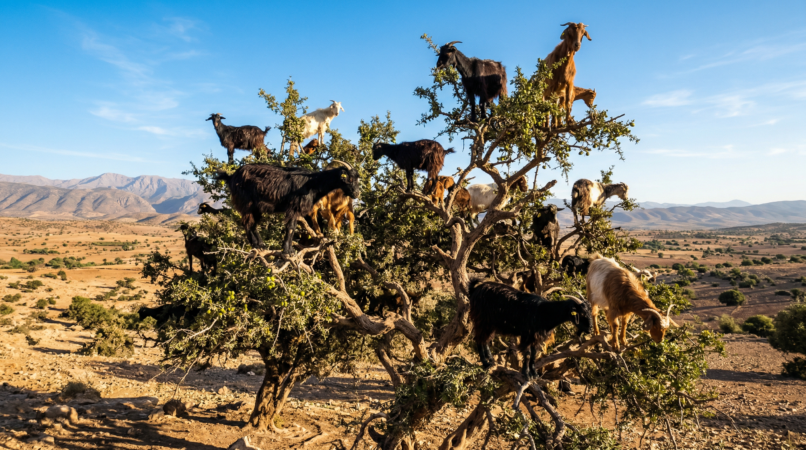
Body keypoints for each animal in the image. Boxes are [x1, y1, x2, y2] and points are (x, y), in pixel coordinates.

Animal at [215, 161, 360, 254]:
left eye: (357, 179)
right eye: (349, 179)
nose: (357, 193)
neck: (313, 182)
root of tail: (231, 177)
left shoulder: (297, 210)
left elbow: (293, 227)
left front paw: (290, 249)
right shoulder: (294, 207)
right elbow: (290, 227)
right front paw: (287, 251)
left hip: (256, 208)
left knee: (253, 224)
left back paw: (261, 245)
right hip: (246, 203)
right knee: (247, 223)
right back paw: (256, 245)